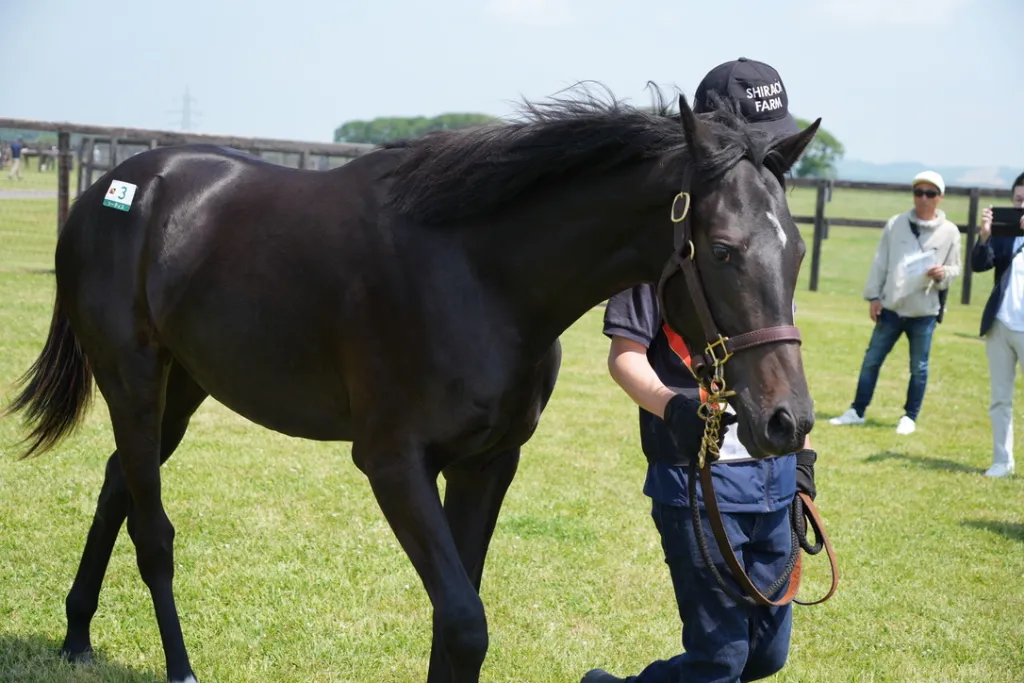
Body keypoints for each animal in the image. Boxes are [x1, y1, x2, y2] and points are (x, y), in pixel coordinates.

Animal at [3, 84, 820, 683]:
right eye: (723, 249)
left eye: (798, 249)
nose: (787, 420)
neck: (480, 275)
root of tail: (114, 187)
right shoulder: (394, 464)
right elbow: (463, 623)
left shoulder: (487, 464)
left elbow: (454, 621)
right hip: (133, 379)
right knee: (152, 528)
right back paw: (177, 666)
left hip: (183, 386)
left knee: (117, 482)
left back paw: (76, 635)